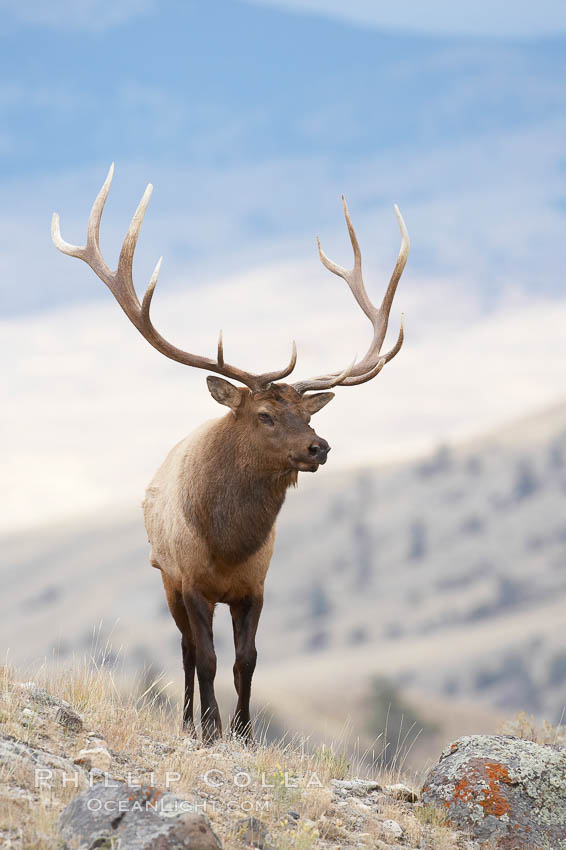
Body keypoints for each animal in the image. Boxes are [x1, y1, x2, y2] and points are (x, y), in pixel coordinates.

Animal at [51, 162, 410, 740]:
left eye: (310, 414)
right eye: (264, 415)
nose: (320, 447)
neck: (228, 543)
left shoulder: (254, 586)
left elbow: (247, 660)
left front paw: (243, 732)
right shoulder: (192, 582)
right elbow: (208, 658)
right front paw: (214, 730)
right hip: (166, 578)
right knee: (185, 652)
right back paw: (189, 723)